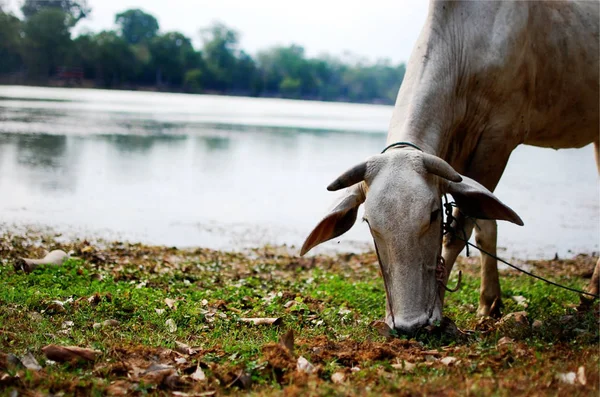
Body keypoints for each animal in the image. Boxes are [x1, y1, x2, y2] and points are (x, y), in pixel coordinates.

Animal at [300, 0, 600, 334]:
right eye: (368, 222)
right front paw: (489, 303)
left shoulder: (497, 140)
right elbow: (485, 225)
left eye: (433, 214)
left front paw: (444, 308)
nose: (409, 323)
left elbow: (459, 231)